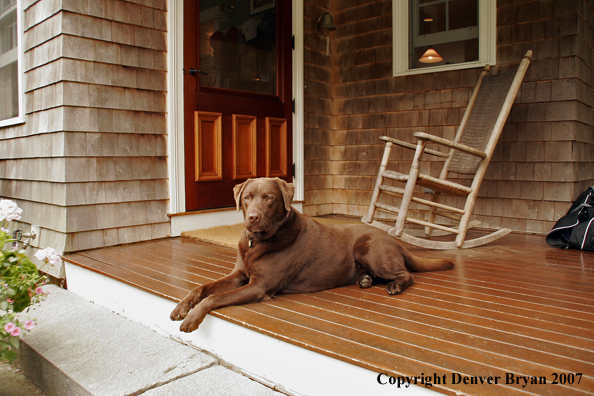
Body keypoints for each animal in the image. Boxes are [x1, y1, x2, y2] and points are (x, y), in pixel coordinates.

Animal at [171, 177, 454, 332]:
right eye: (248, 197)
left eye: (269, 198)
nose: (253, 217)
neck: (258, 242)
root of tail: (393, 238)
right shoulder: (240, 275)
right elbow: (202, 287)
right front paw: (182, 307)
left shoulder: (259, 286)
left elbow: (213, 298)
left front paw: (192, 318)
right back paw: (366, 280)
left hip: (369, 250)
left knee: (407, 274)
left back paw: (394, 285)